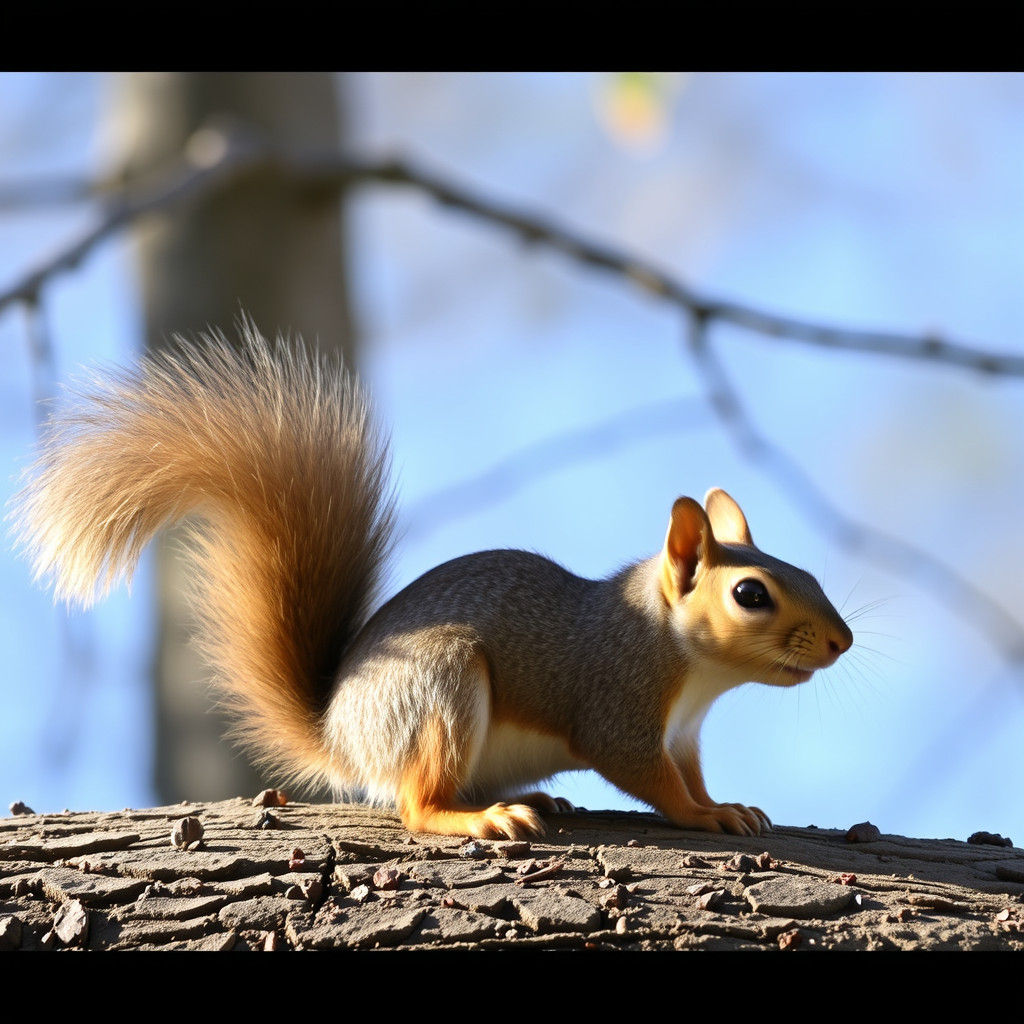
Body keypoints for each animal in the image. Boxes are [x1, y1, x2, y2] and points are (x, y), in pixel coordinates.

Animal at [13, 325, 853, 841]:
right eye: (751, 594)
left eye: (811, 572)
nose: (842, 642)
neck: (692, 674)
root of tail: (339, 738)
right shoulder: (617, 703)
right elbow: (650, 778)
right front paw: (700, 818)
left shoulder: (683, 735)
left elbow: (693, 776)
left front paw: (725, 805)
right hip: (438, 691)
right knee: (417, 805)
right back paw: (482, 819)